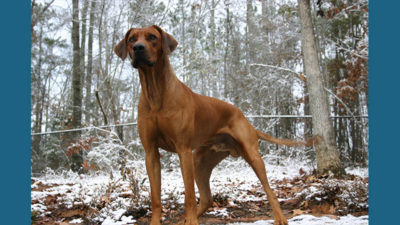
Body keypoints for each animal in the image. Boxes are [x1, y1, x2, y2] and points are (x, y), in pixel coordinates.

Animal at [114, 25, 310, 225]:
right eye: (132, 39)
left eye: (152, 37)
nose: (138, 48)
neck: (155, 93)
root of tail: (243, 117)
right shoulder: (150, 152)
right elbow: (155, 198)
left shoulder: (183, 150)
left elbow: (189, 196)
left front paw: (191, 221)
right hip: (200, 161)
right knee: (207, 199)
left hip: (251, 155)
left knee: (269, 190)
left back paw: (280, 218)